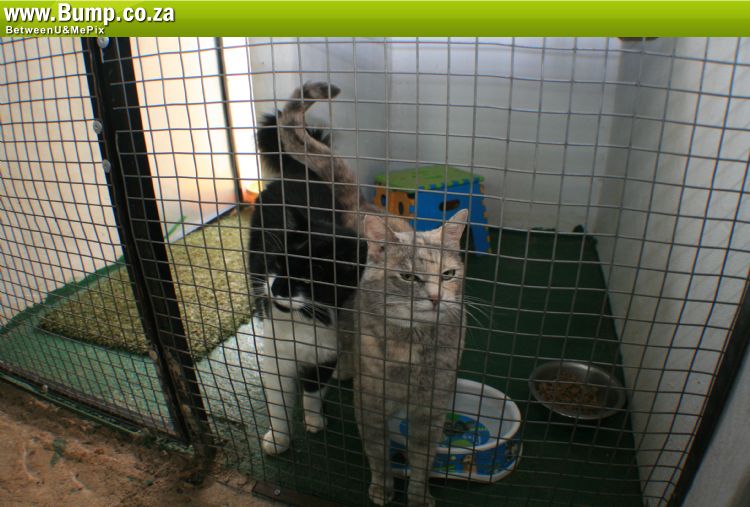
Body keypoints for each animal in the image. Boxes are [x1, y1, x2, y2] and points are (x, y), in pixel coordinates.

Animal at [248, 83, 366, 455]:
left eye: (308, 278)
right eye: (277, 263)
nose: (276, 288)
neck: (300, 323)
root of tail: (297, 172)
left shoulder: (325, 350)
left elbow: (313, 390)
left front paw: (314, 420)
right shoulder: (273, 355)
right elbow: (277, 402)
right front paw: (278, 438)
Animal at [345, 209, 469, 507]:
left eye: (448, 274)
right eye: (408, 277)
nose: (436, 298)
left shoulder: (430, 411)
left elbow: (423, 460)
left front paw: (419, 495)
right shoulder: (370, 405)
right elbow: (378, 453)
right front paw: (382, 487)